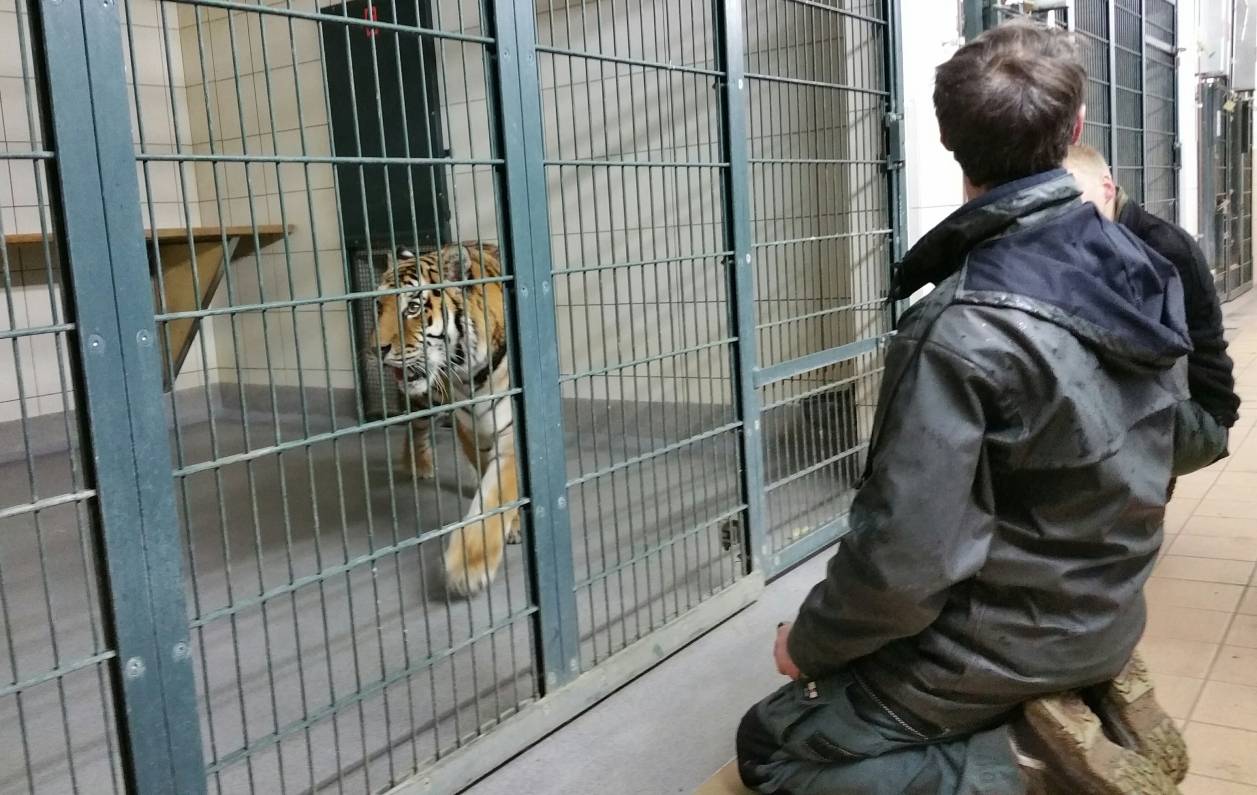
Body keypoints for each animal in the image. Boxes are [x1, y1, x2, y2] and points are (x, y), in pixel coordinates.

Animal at [374, 242, 519, 596]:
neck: (469, 374)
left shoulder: (512, 431)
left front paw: (469, 568)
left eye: (412, 308)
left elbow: (494, 497)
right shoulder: (471, 430)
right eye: (379, 306)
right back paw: (419, 465)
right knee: (416, 427)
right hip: (428, 398)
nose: (376, 349)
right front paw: (468, 568)